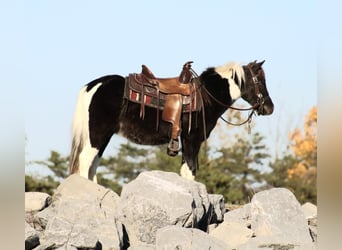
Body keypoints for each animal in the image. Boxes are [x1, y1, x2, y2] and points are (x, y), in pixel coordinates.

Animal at [68, 60, 274, 182]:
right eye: (260, 81)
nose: (270, 108)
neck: (206, 96)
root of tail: (93, 85)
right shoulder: (192, 140)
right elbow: (190, 170)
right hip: (97, 135)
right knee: (85, 161)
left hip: (102, 137)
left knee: (93, 166)